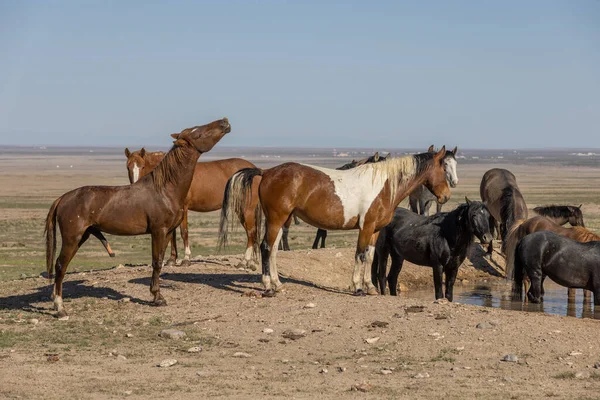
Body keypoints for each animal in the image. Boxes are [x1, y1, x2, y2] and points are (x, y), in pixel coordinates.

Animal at [44, 117, 231, 318]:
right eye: (198, 133)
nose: (224, 121)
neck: (165, 189)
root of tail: (63, 198)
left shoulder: (167, 232)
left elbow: (160, 262)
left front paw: (158, 296)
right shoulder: (158, 231)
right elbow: (156, 262)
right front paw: (156, 298)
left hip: (81, 237)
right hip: (72, 238)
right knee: (60, 266)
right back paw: (60, 307)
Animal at [124, 148, 258, 268]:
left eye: (142, 166)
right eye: (128, 167)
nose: (134, 186)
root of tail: (255, 170)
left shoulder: (183, 208)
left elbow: (184, 232)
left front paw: (186, 259)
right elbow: (172, 234)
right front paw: (171, 260)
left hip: (246, 209)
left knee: (251, 232)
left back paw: (244, 262)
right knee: (252, 232)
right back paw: (251, 262)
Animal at [219, 148, 450, 296]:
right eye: (444, 169)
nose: (446, 196)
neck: (381, 185)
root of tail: (266, 172)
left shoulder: (375, 230)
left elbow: (370, 256)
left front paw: (370, 287)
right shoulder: (365, 228)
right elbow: (360, 255)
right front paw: (357, 287)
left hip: (280, 220)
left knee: (273, 249)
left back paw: (277, 284)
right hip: (277, 219)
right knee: (266, 248)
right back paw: (268, 287)